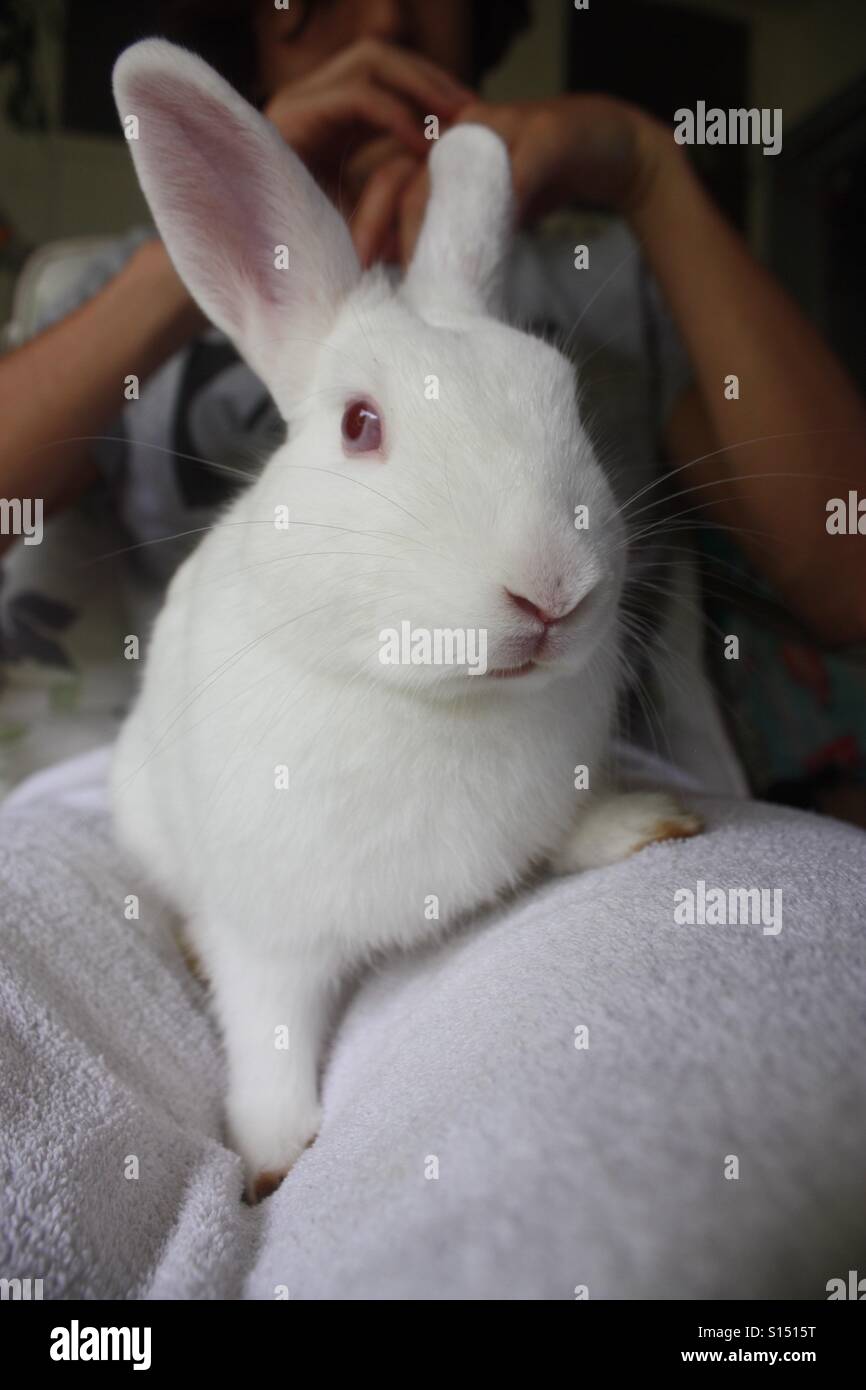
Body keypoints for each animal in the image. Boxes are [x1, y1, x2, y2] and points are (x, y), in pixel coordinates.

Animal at [110, 40, 701, 1202]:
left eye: (565, 395)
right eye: (359, 425)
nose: (552, 587)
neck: (438, 702)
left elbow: (565, 831)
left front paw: (642, 824)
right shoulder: (269, 932)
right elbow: (269, 1029)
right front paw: (271, 1157)